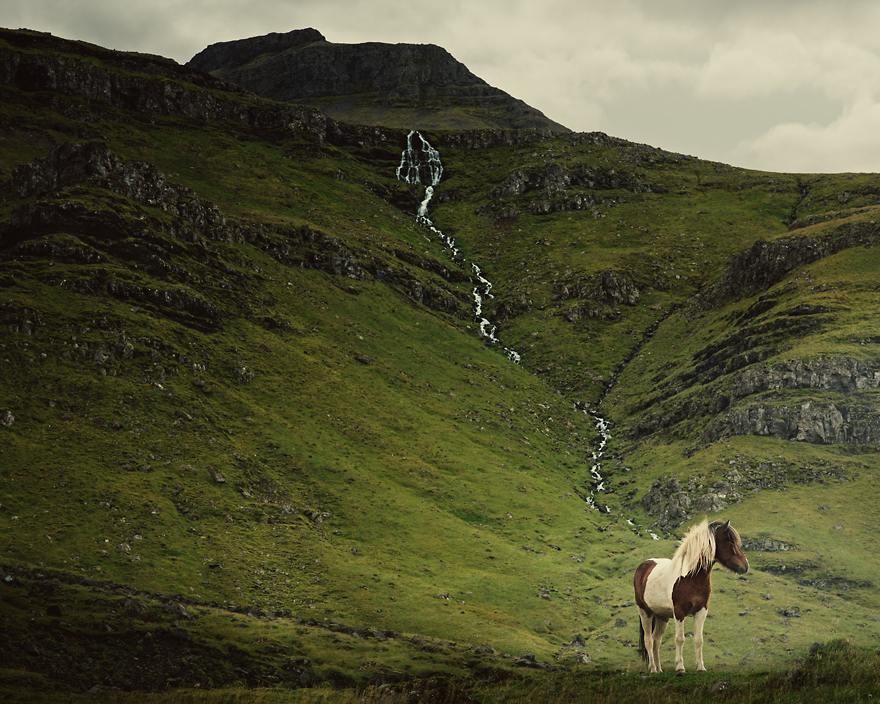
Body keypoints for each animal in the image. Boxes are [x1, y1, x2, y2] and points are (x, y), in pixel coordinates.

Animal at [633, 519, 749, 673]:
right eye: (730, 543)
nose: (745, 566)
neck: (690, 577)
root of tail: (644, 565)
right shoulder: (679, 613)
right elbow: (680, 639)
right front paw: (680, 667)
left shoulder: (701, 611)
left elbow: (698, 640)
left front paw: (700, 667)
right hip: (645, 612)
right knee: (649, 640)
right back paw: (652, 669)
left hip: (662, 616)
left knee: (656, 640)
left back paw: (659, 670)